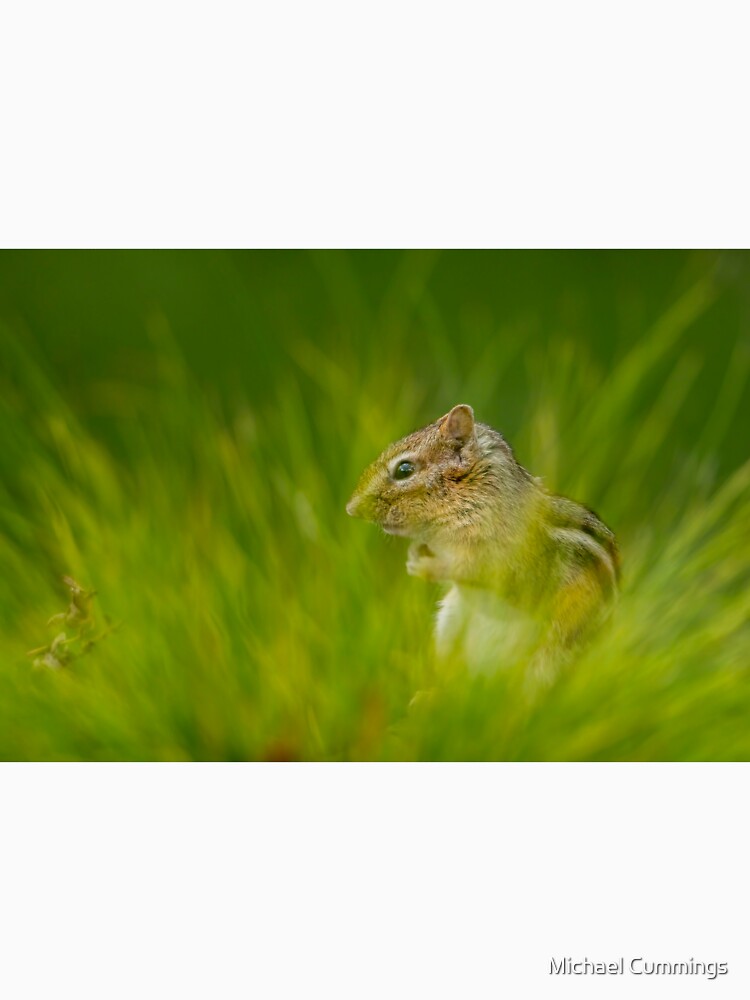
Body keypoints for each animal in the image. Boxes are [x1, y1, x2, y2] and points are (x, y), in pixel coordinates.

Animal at [346, 404, 619, 680]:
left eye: (404, 470)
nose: (351, 508)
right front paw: (416, 553)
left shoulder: (511, 559)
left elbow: (475, 570)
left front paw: (425, 567)